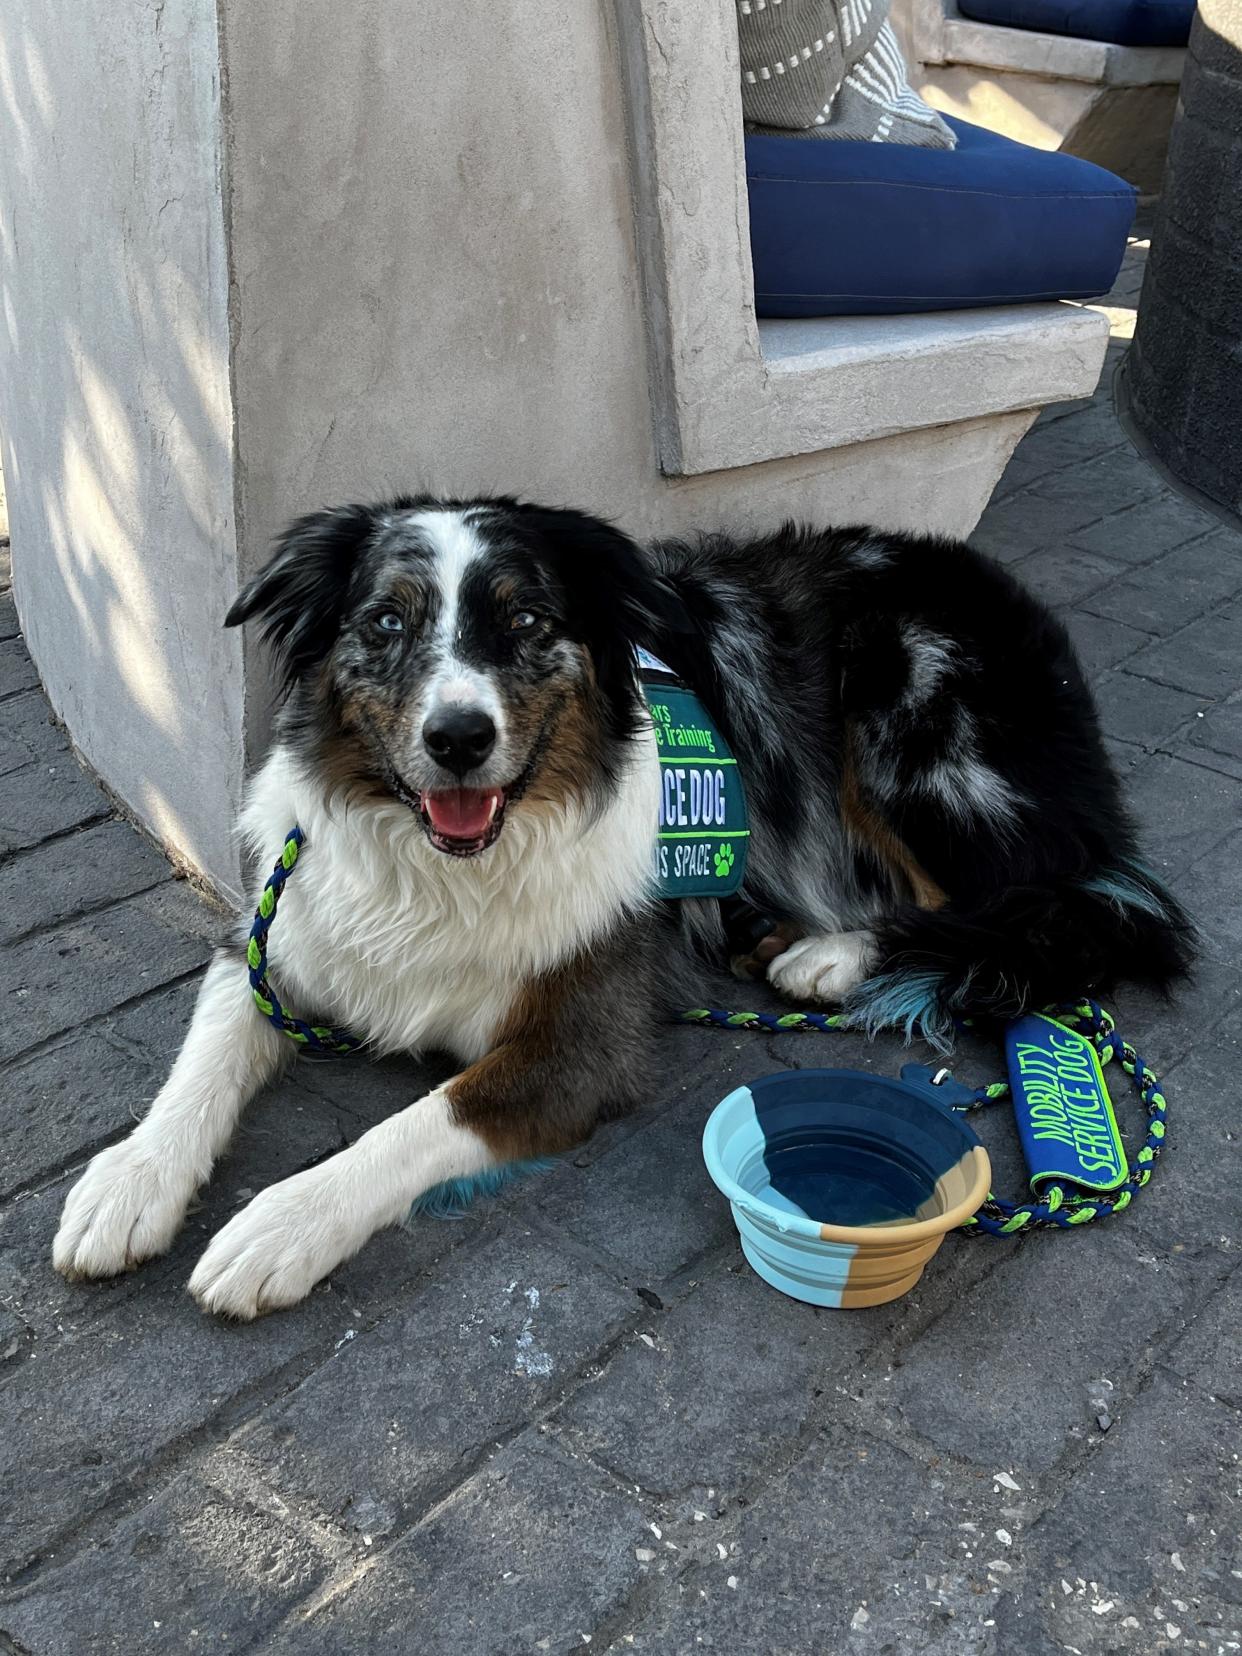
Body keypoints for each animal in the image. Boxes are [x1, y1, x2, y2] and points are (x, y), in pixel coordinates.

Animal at [51, 496, 1198, 1311]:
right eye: (384, 623)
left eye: (525, 622)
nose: (457, 738)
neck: (448, 865)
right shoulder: (280, 936)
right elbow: (205, 1057)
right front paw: (131, 1180)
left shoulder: (581, 1041)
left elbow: (412, 1127)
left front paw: (282, 1224)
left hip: (916, 718)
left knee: (1057, 902)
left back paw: (831, 953)